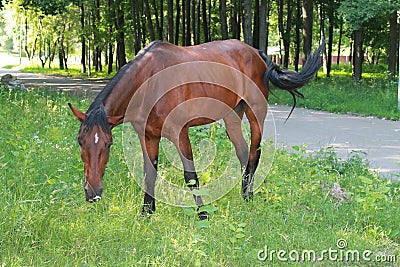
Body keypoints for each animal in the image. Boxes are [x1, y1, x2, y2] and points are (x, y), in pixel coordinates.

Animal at [69, 40, 324, 220]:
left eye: (108, 144)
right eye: (80, 142)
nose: (92, 193)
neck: (149, 81)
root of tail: (257, 53)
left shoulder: (179, 132)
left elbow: (190, 176)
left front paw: (202, 214)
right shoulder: (148, 136)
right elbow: (149, 173)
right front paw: (146, 212)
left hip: (255, 113)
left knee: (254, 153)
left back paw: (248, 196)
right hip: (232, 116)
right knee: (243, 153)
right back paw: (244, 193)